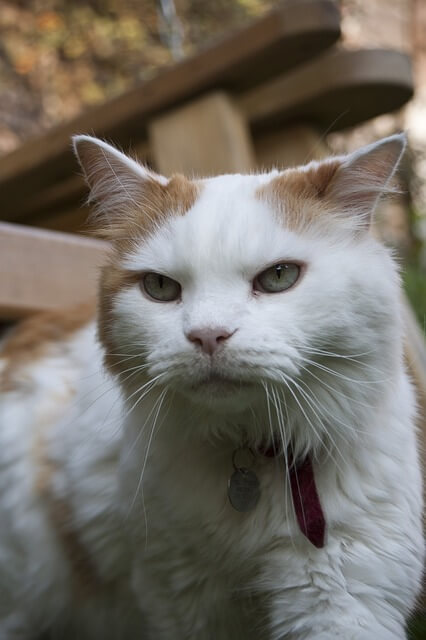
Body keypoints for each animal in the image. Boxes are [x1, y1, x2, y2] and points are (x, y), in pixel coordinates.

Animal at [0, 132, 422, 636]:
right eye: (160, 287)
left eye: (279, 277)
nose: (207, 335)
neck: (250, 455)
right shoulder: (181, 599)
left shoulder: (344, 599)